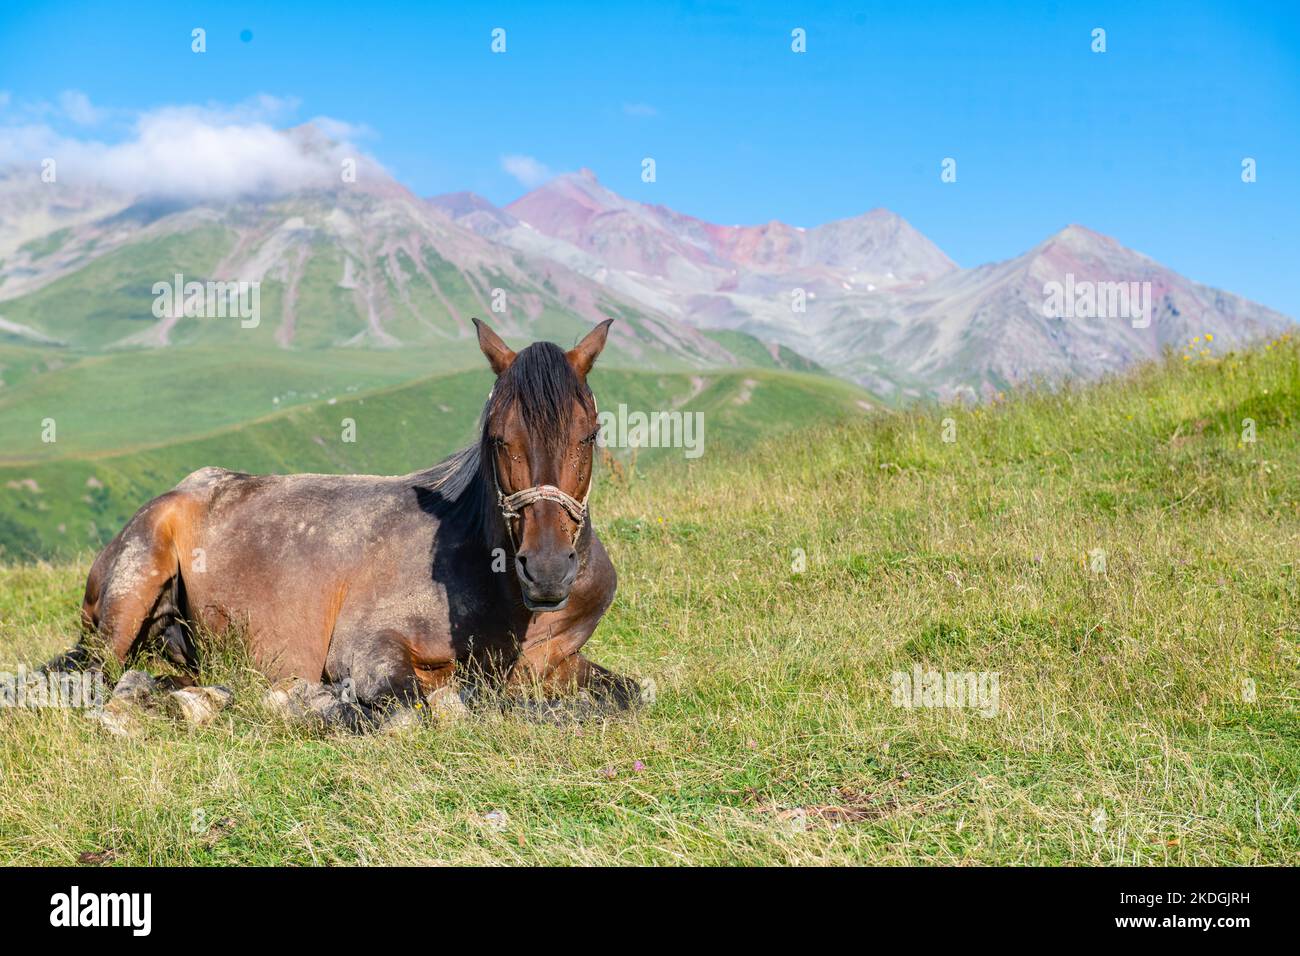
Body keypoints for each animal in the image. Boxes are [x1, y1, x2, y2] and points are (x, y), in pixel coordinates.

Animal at [45, 318, 649, 727]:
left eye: (590, 434)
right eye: (499, 438)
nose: (546, 571)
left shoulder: (555, 663)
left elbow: (634, 693)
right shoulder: (368, 649)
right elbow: (422, 707)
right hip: (131, 592)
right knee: (97, 675)